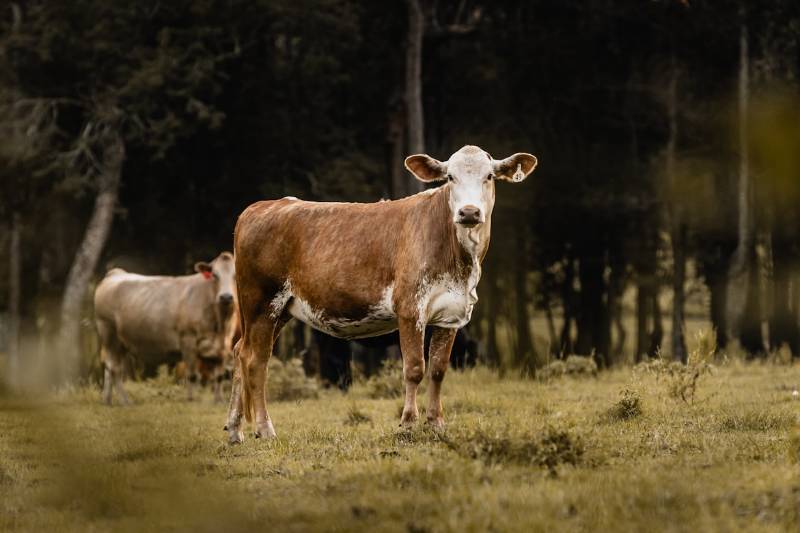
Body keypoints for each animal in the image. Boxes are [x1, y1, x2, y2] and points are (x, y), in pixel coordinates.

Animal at [94, 252, 236, 405]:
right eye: (215, 275)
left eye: (236, 275)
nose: (226, 297)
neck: (220, 326)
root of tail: (115, 273)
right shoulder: (188, 340)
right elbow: (192, 375)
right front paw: (191, 400)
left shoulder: (222, 347)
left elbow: (219, 377)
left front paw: (219, 401)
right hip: (109, 332)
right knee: (115, 369)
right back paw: (125, 401)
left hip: (121, 343)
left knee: (109, 367)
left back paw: (107, 400)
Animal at [225, 145, 537, 443]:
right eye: (450, 177)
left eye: (489, 176)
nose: (469, 212)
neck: (460, 262)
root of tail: (260, 207)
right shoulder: (410, 308)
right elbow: (414, 368)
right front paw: (408, 424)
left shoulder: (451, 315)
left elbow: (437, 370)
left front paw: (436, 424)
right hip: (262, 301)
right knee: (256, 360)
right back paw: (264, 429)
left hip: (278, 310)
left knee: (241, 351)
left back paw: (234, 430)